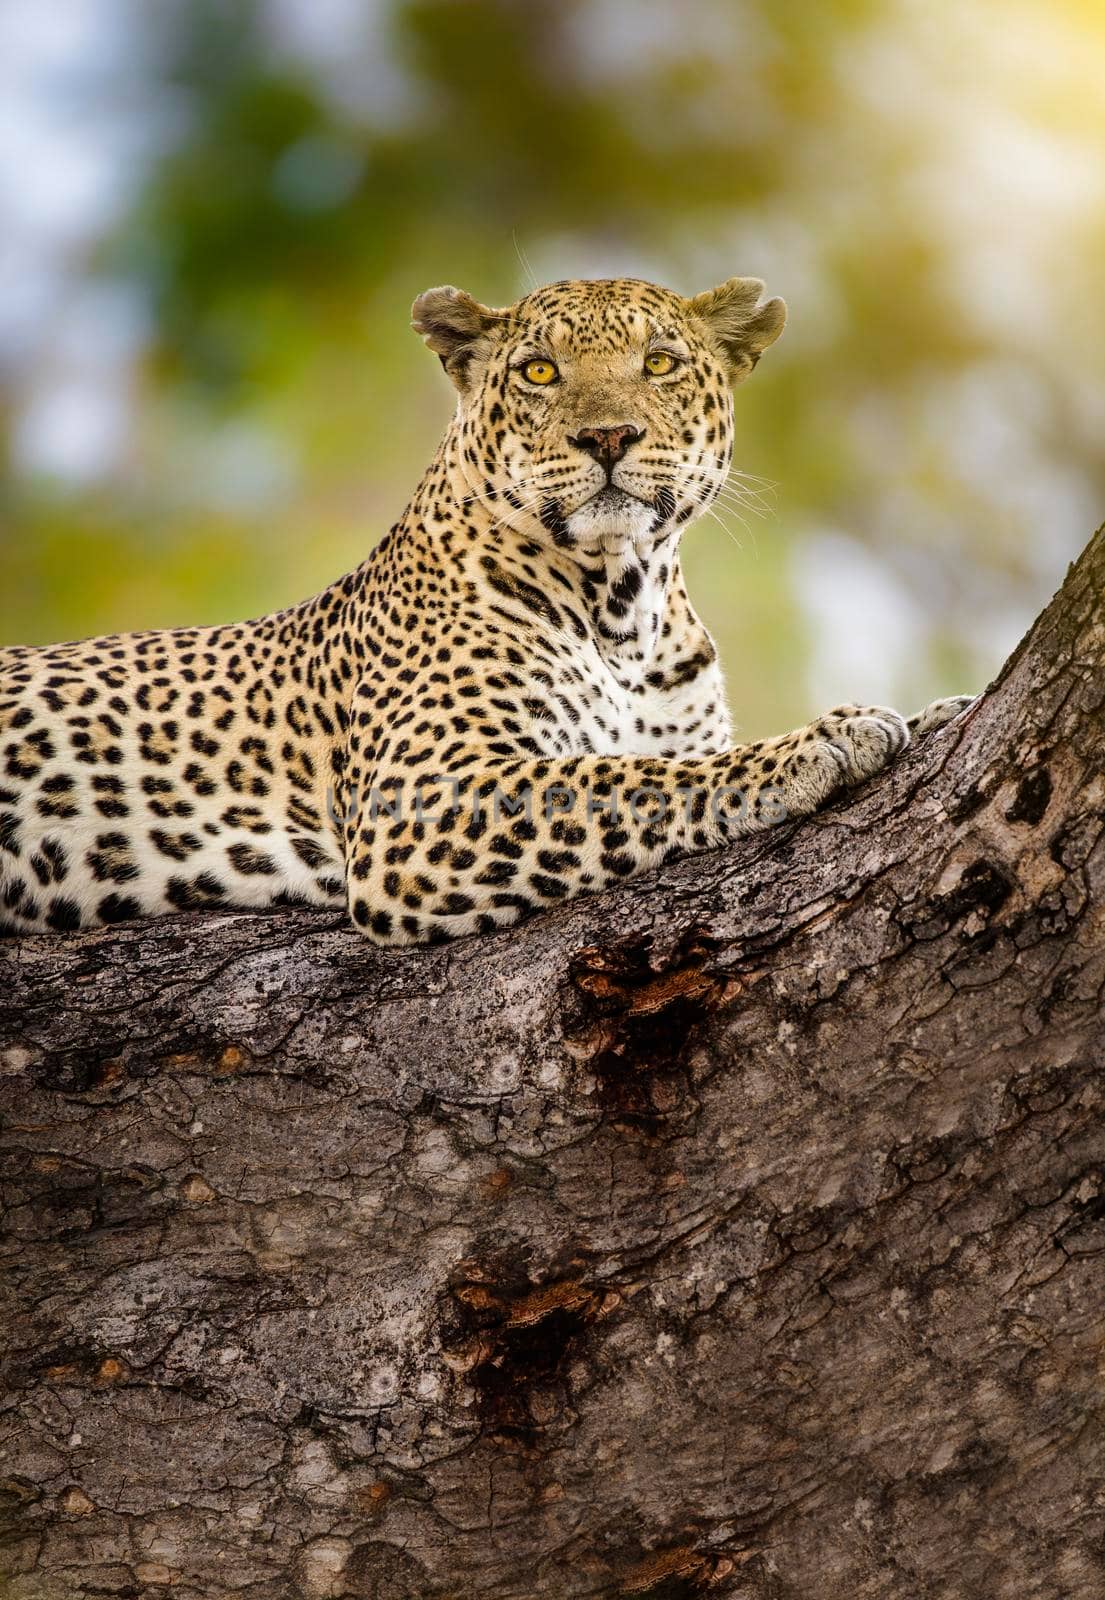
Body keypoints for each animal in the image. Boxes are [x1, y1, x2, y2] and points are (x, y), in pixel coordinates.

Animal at [0, 276, 965, 940]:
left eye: (658, 363)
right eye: (540, 372)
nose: (607, 436)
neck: (627, 609)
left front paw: (939, 711)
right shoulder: (426, 796)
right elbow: (627, 778)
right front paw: (820, 740)